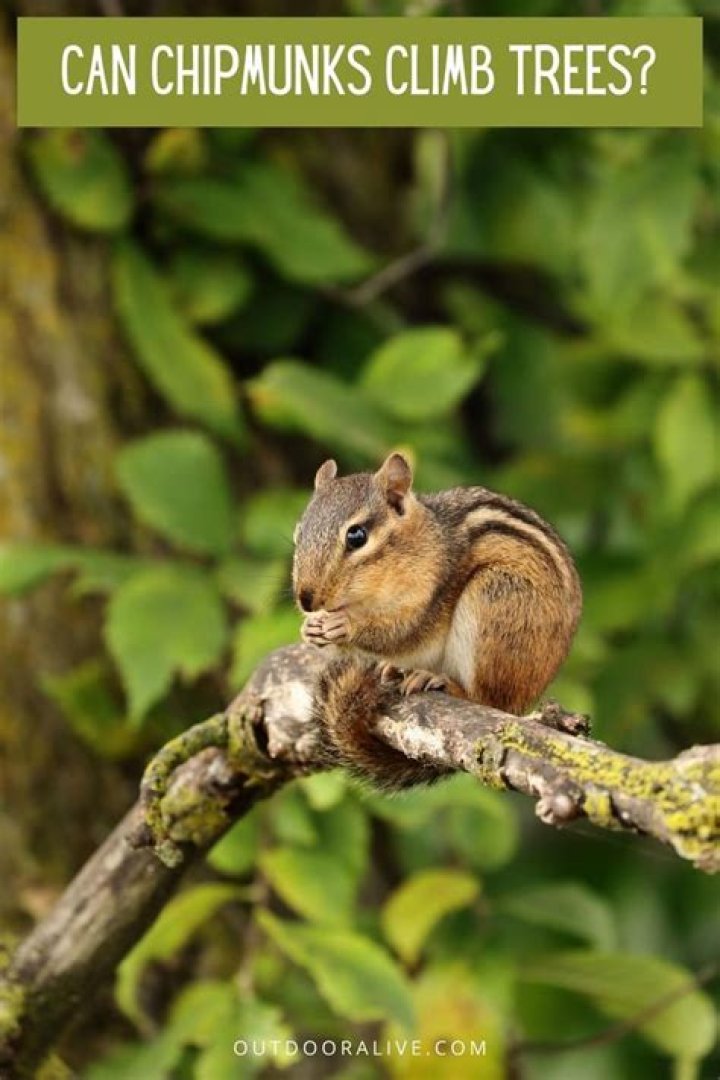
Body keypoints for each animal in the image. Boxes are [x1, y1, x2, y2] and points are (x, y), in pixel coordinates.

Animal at [292, 452, 582, 790]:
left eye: (357, 536)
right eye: (299, 533)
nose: (306, 598)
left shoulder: (432, 593)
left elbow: (400, 632)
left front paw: (345, 626)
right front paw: (311, 628)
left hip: (496, 597)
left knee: (488, 699)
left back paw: (440, 681)